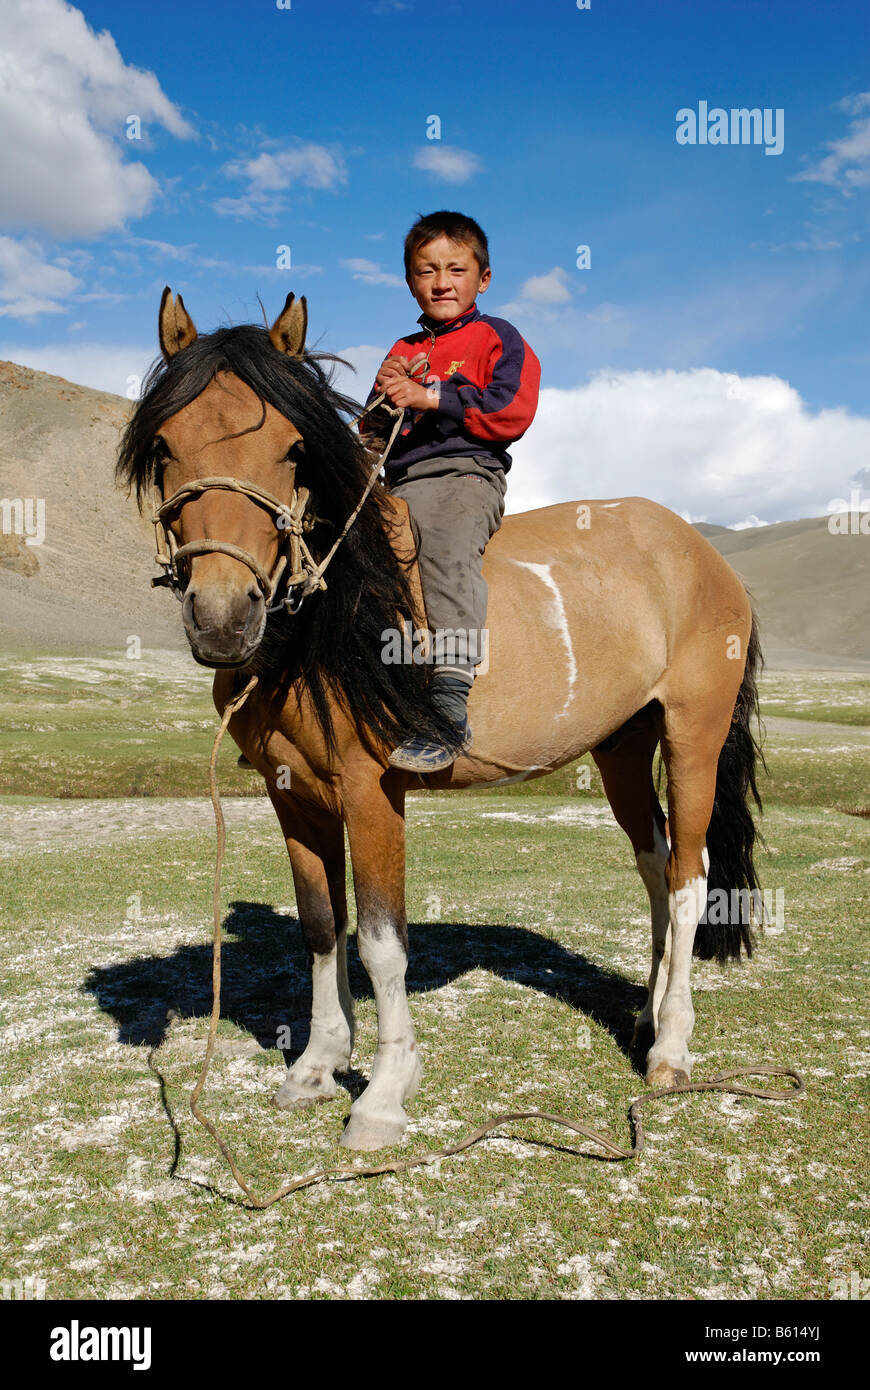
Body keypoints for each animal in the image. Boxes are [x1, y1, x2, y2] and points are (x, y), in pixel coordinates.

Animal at [115, 290, 756, 1150]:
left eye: (293, 450)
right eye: (163, 444)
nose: (222, 617)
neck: (334, 617)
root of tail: (705, 555)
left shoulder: (370, 791)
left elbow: (383, 944)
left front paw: (383, 1095)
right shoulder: (293, 796)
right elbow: (321, 926)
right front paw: (316, 1066)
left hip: (693, 735)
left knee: (690, 878)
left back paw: (672, 1049)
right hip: (622, 746)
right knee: (654, 866)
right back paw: (649, 1018)